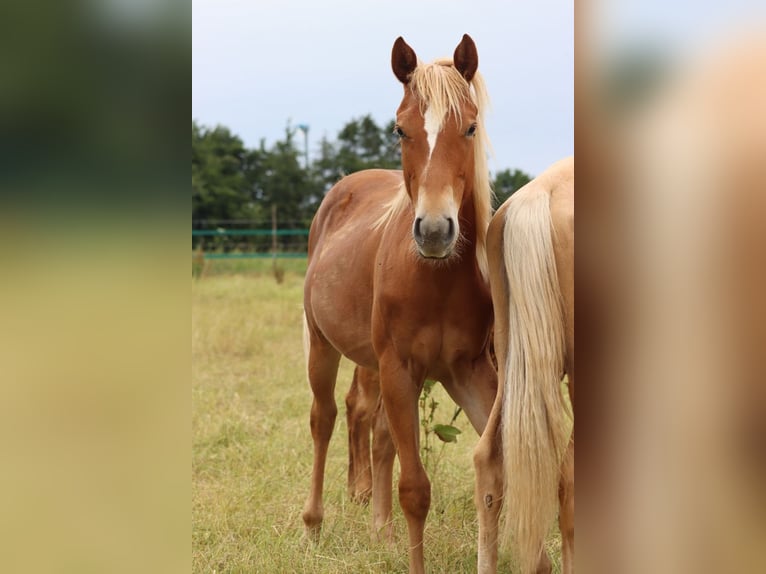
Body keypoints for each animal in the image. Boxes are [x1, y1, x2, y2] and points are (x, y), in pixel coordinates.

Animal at [302, 34, 498, 573]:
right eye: (400, 129)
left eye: (470, 126)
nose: (433, 231)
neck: (436, 280)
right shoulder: (399, 366)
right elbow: (415, 489)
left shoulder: (467, 370)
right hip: (322, 347)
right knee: (324, 419)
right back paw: (313, 525)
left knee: (375, 428)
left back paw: (381, 531)